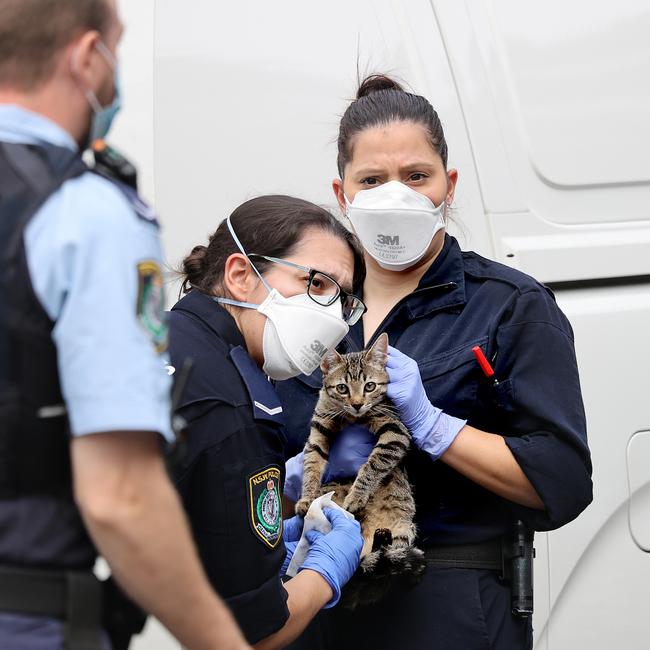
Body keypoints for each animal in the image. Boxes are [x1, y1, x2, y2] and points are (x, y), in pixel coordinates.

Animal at [294, 334, 426, 604]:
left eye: (370, 386)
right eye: (342, 388)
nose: (356, 404)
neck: (353, 418)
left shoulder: (395, 431)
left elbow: (373, 464)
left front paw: (356, 495)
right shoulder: (318, 432)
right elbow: (310, 466)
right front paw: (307, 498)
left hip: (405, 529)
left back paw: (382, 543)